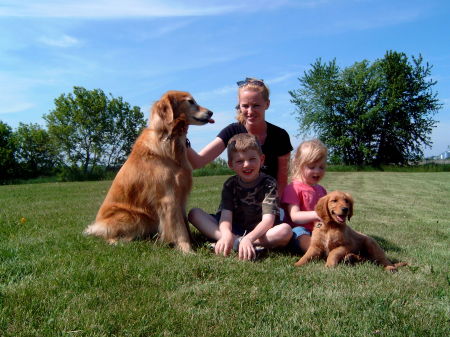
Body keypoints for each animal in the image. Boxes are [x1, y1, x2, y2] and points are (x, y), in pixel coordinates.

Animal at [84, 90, 214, 251]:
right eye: (191, 101)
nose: (211, 112)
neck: (171, 139)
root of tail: (96, 226)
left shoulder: (181, 196)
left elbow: (185, 224)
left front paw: (194, 244)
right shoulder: (169, 197)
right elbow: (179, 228)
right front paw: (187, 250)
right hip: (134, 217)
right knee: (111, 237)